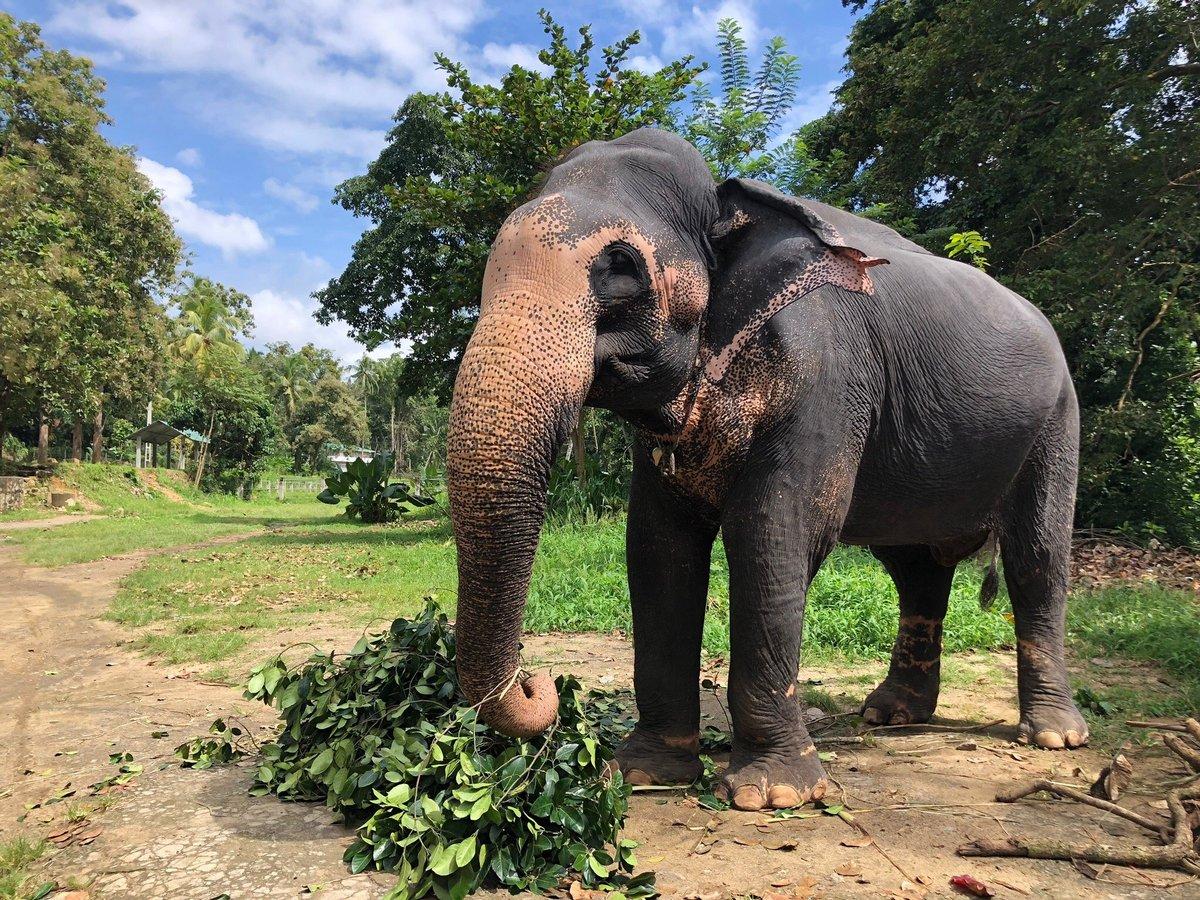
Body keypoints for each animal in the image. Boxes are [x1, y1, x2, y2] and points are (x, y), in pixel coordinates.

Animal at [447, 127, 1087, 812]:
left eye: (620, 271)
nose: (540, 685)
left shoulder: (826, 374)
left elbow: (772, 533)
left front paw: (771, 794)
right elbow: (657, 546)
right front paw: (643, 773)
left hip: (1057, 422)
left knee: (1035, 557)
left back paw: (1054, 736)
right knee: (915, 569)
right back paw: (891, 715)